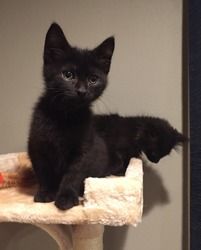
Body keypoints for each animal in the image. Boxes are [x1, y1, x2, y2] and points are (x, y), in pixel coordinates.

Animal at [27, 23, 114, 209]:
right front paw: (46, 193)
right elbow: (43, 171)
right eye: (67, 75)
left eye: (93, 79)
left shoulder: (84, 150)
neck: (65, 116)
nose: (81, 91)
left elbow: (74, 173)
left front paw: (66, 197)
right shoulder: (37, 145)